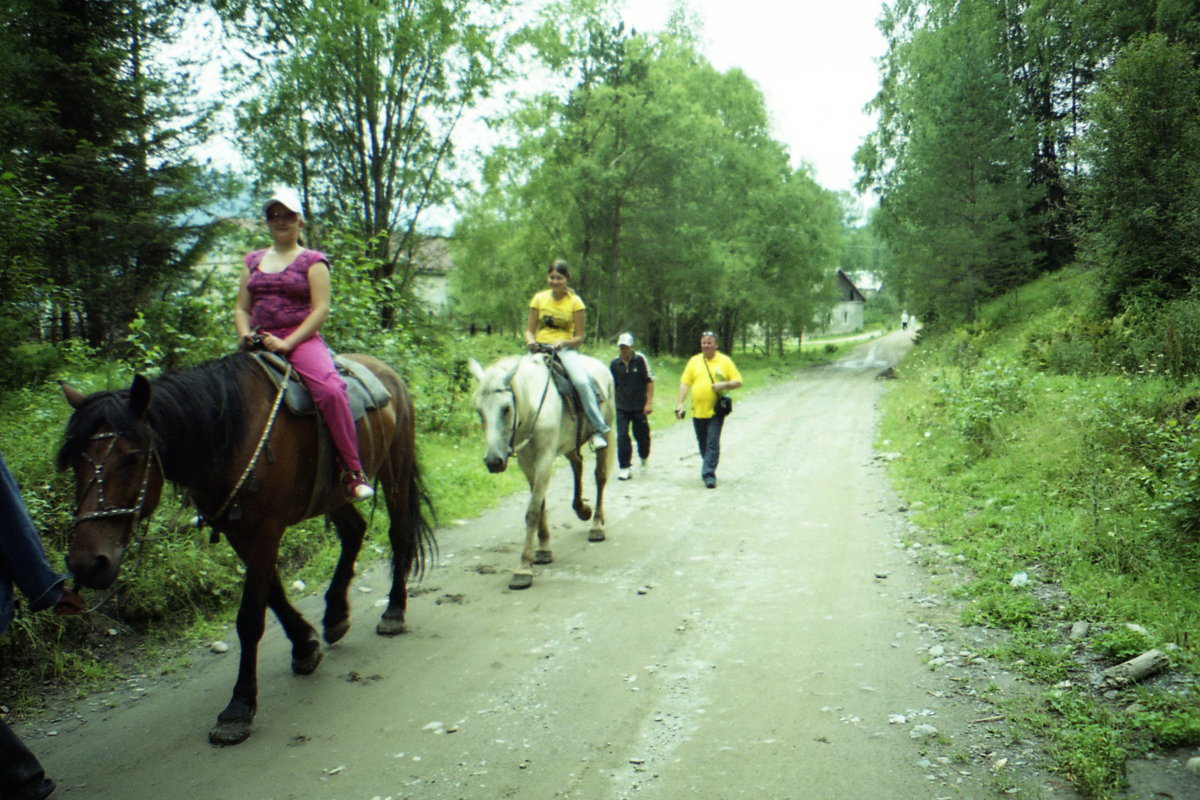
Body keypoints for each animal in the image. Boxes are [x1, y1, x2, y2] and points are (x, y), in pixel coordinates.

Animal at [56, 352, 434, 748]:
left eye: (130, 456)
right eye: (75, 461)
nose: (87, 563)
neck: (228, 436)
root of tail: (384, 370)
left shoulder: (266, 529)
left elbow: (251, 618)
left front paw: (238, 707)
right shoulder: (238, 530)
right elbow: (273, 594)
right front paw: (305, 646)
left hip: (395, 467)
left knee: (399, 533)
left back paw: (393, 612)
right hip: (333, 492)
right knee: (354, 531)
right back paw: (335, 617)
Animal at [468, 350, 614, 587]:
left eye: (506, 409)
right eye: (479, 411)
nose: (493, 461)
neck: (534, 406)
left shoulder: (545, 459)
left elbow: (533, 511)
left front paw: (523, 568)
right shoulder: (527, 462)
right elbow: (541, 504)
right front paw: (544, 549)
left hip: (606, 434)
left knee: (600, 477)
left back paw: (596, 526)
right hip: (569, 444)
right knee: (577, 464)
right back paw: (582, 509)